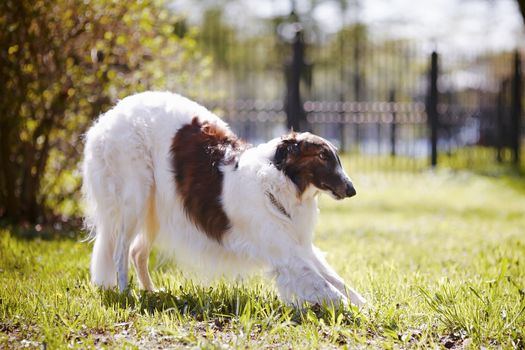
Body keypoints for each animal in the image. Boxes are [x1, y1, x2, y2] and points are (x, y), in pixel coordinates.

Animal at [83, 91, 364, 308]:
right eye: (323, 156)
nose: (352, 190)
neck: (278, 181)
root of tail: (109, 116)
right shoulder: (286, 253)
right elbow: (329, 289)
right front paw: (358, 315)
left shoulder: (300, 246)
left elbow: (339, 282)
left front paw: (365, 306)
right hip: (135, 198)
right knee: (120, 252)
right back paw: (126, 293)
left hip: (154, 207)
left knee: (137, 252)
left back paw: (152, 293)